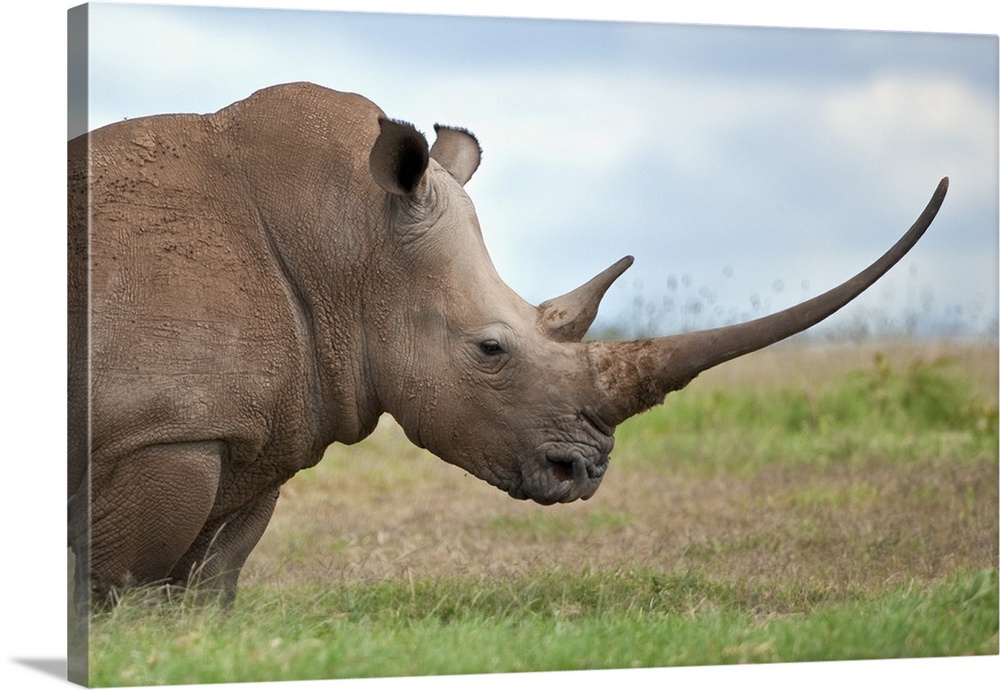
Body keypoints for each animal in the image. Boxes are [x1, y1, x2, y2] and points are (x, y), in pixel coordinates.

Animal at [68, 83, 944, 604]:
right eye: (491, 351)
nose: (583, 473)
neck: (348, 245)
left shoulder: (257, 428)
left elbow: (208, 582)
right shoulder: (164, 431)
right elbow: (124, 581)